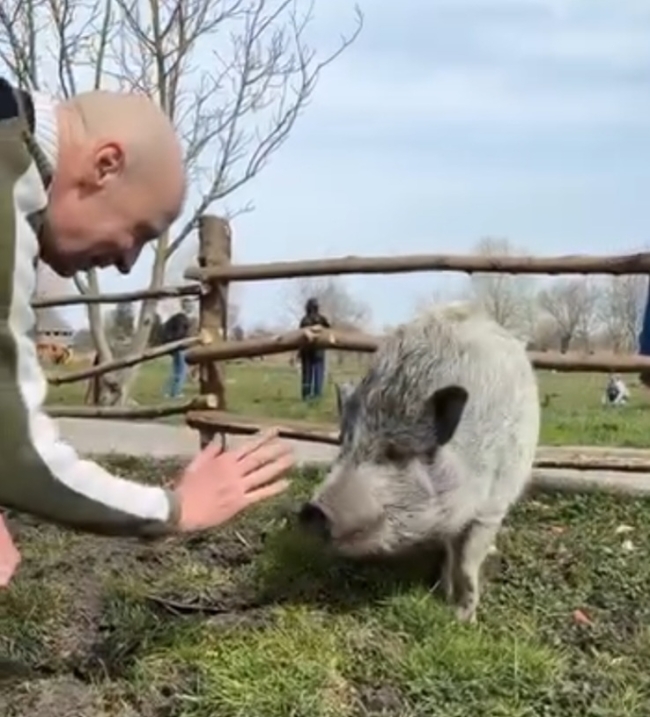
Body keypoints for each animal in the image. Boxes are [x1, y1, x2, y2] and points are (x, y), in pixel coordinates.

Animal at [296, 302, 540, 620]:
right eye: (343, 443)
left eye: (396, 452)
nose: (312, 510)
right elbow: (451, 553)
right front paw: (443, 593)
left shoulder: (491, 508)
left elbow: (467, 563)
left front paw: (463, 619)